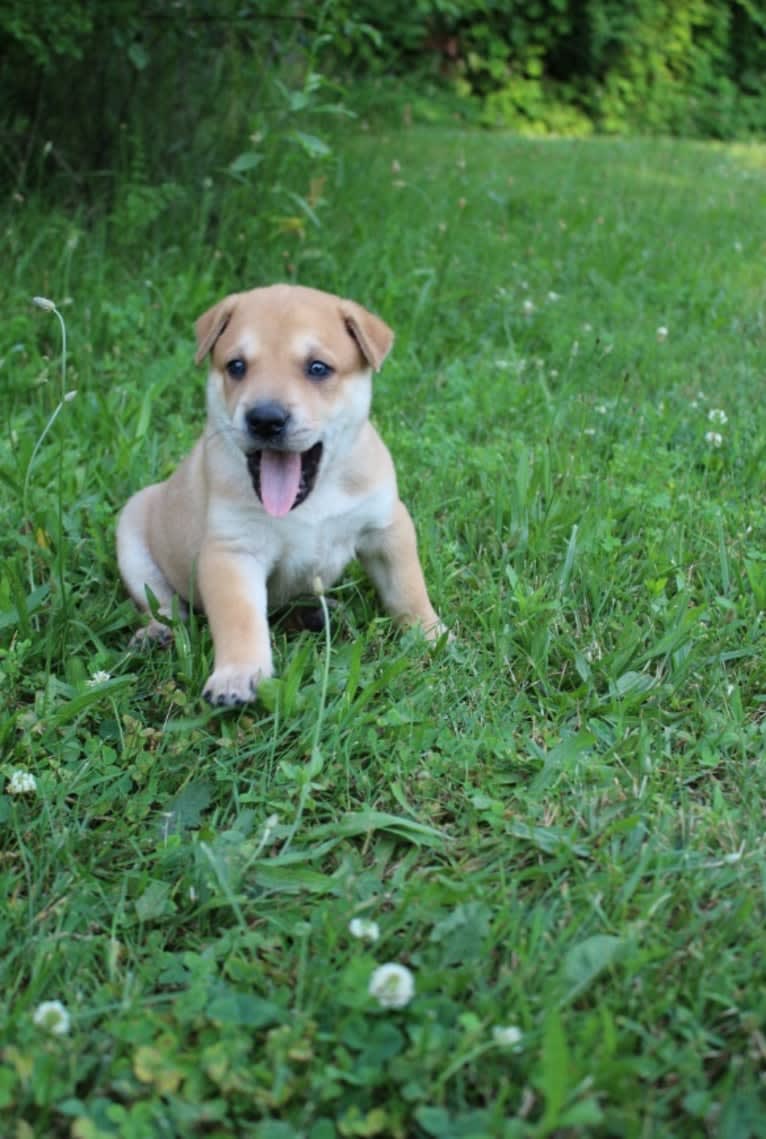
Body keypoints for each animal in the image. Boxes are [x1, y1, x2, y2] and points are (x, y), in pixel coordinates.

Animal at [116, 282, 446, 701]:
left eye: (318, 368)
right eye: (236, 366)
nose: (265, 419)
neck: (315, 494)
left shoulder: (386, 527)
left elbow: (408, 587)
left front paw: (431, 634)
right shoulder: (233, 551)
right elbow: (240, 618)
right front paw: (237, 675)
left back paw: (318, 612)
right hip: (132, 533)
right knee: (163, 605)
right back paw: (155, 634)